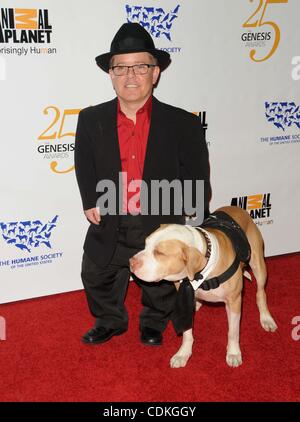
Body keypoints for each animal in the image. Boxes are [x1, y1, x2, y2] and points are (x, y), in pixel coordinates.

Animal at [130, 206, 278, 368]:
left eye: (159, 253)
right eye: (145, 244)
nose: (131, 261)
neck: (202, 271)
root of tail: (236, 208)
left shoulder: (234, 301)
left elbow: (233, 332)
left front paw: (233, 352)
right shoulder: (184, 297)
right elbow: (187, 333)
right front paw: (183, 353)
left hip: (258, 265)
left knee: (260, 293)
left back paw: (266, 318)